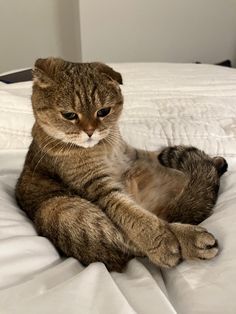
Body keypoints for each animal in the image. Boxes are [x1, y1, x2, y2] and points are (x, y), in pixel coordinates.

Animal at [14, 57, 227, 272]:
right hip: (60, 210)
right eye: (69, 115)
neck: (105, 147)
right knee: (135, 240)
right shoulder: (99, 187)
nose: (90, 131)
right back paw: (190, 239)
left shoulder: (133, 156)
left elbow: (154, 155)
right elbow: (132, 215)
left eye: (104, 111)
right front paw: (164, 242)